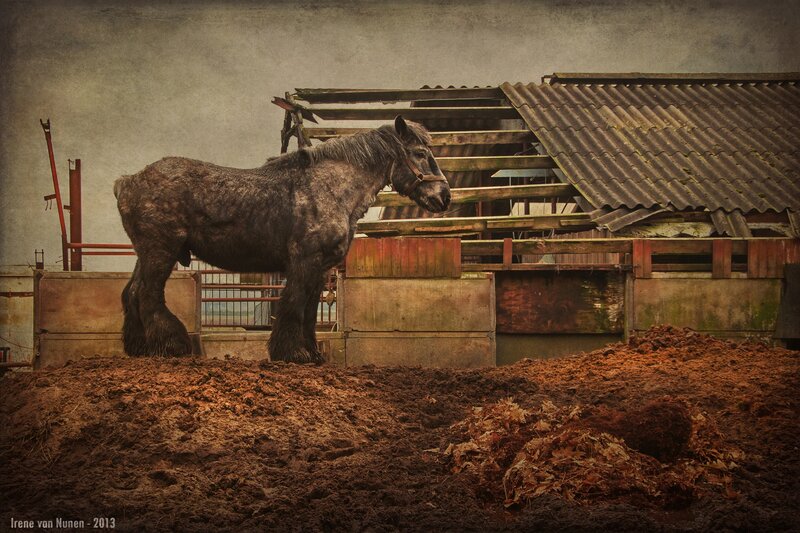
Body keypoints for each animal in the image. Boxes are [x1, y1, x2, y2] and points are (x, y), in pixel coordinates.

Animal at [114, 116, 451, 363]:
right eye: (420, 154)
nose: (444, 196)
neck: (329, 188)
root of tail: (128, 181)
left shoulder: (322, 268)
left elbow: (310, 311)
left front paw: (313, 353)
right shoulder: (304, 262)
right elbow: (294, 304)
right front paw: (293, 353)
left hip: (147, 253)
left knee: (132, 293)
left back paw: (139, 347)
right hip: (161, 251)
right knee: (148, 295)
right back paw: (172, 345)